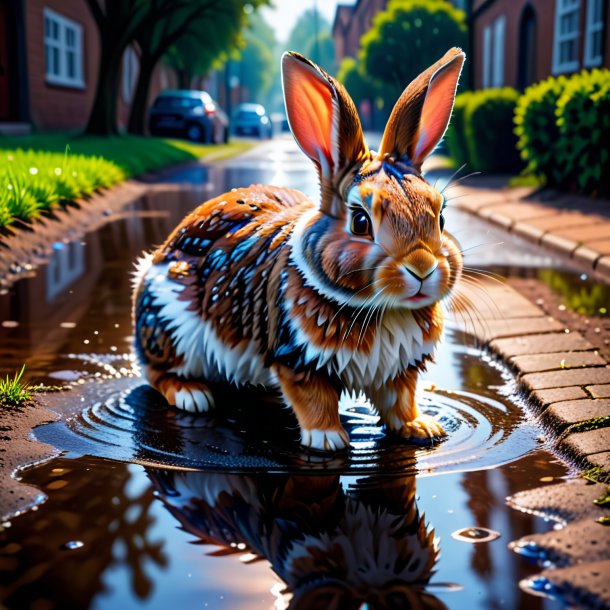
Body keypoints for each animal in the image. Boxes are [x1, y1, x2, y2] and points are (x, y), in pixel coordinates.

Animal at [133, 46, 464, 452]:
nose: (421, 267)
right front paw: (328, 439)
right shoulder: (297, 360)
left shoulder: (398, 371)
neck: (385, 309)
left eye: (441, 215)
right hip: (170, 323)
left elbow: (400, 401)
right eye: (360, 221)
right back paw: (191, 394)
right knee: (155, 371)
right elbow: (314, 400)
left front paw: (421, 428)